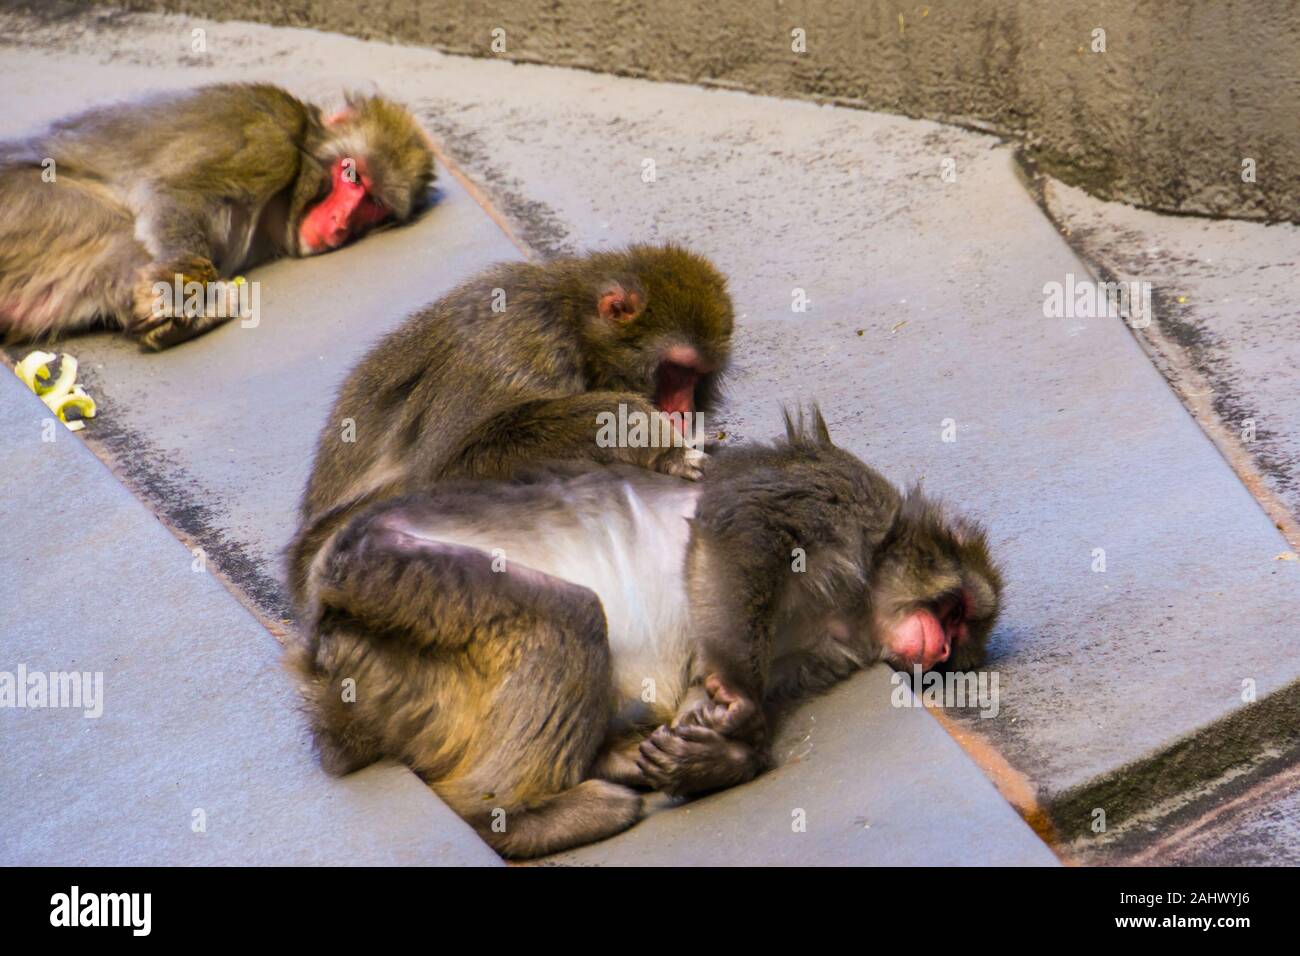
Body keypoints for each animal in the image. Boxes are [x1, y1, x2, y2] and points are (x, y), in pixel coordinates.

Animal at [0, 83, 436, 348]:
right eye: (351, 175)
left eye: (373, 204)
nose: (341, 223)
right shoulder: (264, 141)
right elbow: (171, 192)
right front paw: (181, 286)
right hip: (27, 208)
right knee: (117, 232)